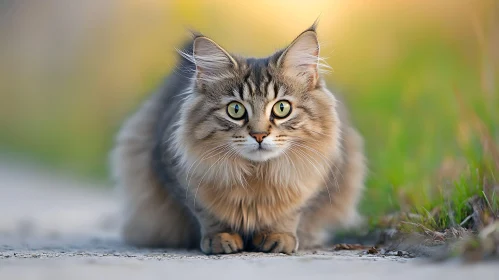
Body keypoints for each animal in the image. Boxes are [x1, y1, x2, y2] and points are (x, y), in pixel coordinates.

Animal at [111, 24, 366, 255]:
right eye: (235, 110)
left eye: (282, 108)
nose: (259, 135)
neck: (257, 176)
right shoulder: (176, 175)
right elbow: (207, 214)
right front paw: (220, 238)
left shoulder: (322, 181)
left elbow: (292, 214)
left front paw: (279, 236)